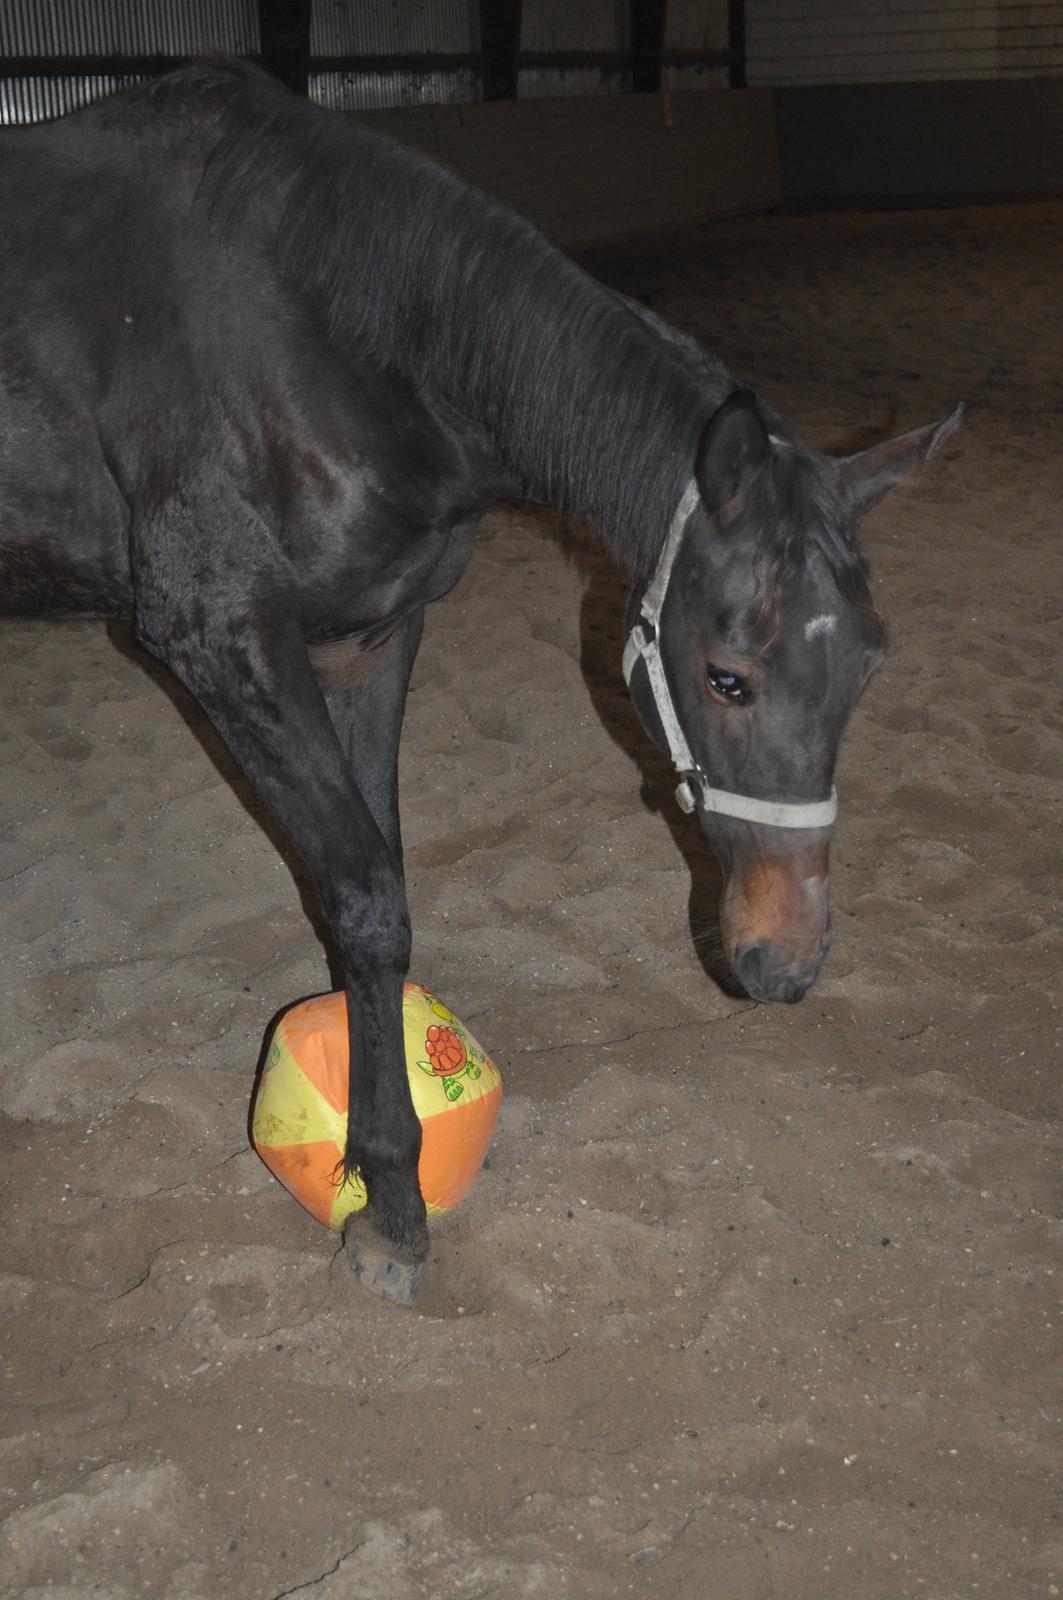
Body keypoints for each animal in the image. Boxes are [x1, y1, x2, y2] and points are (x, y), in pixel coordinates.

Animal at [0, 62, 960, 1305]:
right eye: (727, 677)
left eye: (869, 664)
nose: (784, 964)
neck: (334, 330)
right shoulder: (220, 642)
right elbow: (366, 894)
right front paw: (392, 1201)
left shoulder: (369, 638)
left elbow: (371, 895)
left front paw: (379, 1176)